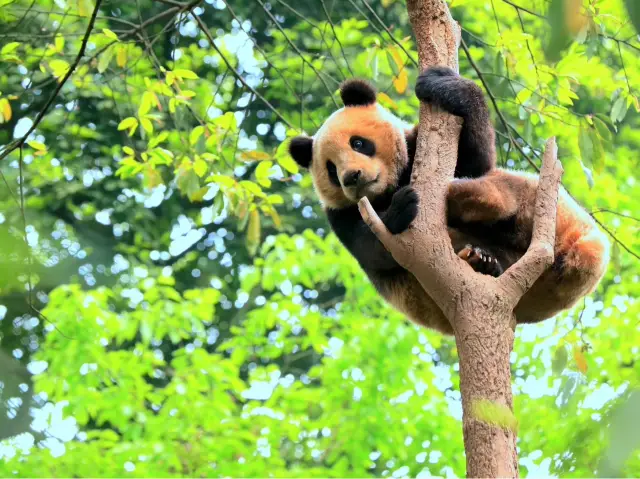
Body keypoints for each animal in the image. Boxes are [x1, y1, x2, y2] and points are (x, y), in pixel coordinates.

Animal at [286, 65, 608, 334]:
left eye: (358, 143)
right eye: (330, 169)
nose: (351, 177)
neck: (388, 188)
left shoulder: (418, 146)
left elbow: (476, 162)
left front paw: (443, 83)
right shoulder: (341, 216)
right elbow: (374, 250)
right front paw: (400, 209)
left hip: (552, 208)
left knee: (506, 189)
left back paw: (466, 199)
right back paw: (482, 258)